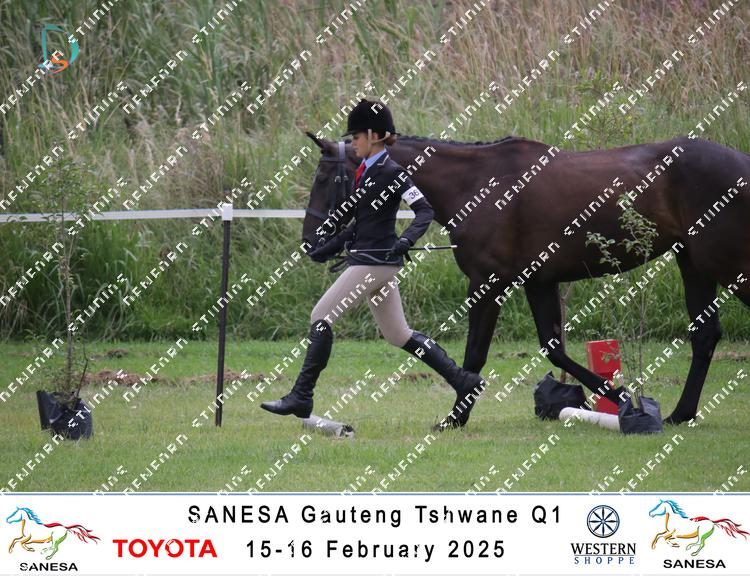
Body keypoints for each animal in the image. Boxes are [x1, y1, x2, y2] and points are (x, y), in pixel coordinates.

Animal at [302, 131, 750, 426]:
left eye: (324, 179)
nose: (312, 244)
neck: (478, 185)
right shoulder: (539, 281)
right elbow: (555, 349)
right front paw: (619, 399)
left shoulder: (488, 283)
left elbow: (475, 354)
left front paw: (455, 418)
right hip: (693, 263)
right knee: (704, 335)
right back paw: (679, 414)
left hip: (726, 265)